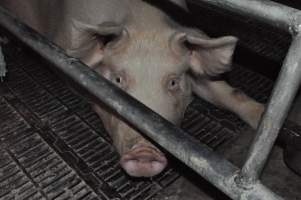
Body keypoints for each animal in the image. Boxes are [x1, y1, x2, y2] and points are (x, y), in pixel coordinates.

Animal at [0, 0, 262, 178]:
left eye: (173, 82)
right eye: (117, 80)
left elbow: (228, 93)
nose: (143, 153)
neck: (143, 20)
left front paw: (261, 119)